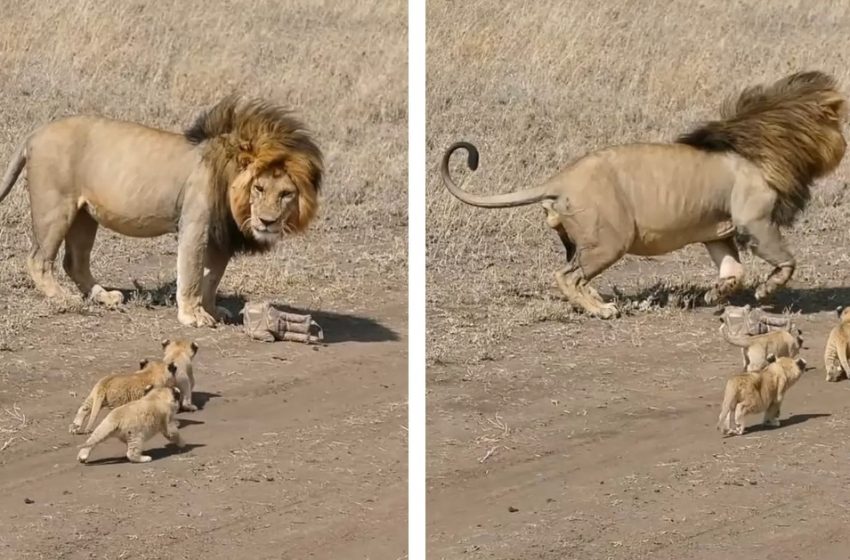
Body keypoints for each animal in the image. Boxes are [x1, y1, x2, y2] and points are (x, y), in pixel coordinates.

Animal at [0, 94, 322, 326]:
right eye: (259, 188)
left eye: (286, 194)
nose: (267, 222)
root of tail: (35, 134)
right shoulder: (194, 224)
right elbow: (192, 273)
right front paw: (193, 316)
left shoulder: (220, 237)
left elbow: (212, 277)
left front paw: (212, 310)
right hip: (56, 207)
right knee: (39, 259)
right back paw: (63, 299)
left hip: (84, 215)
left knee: (75, 261)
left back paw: (104, 296)